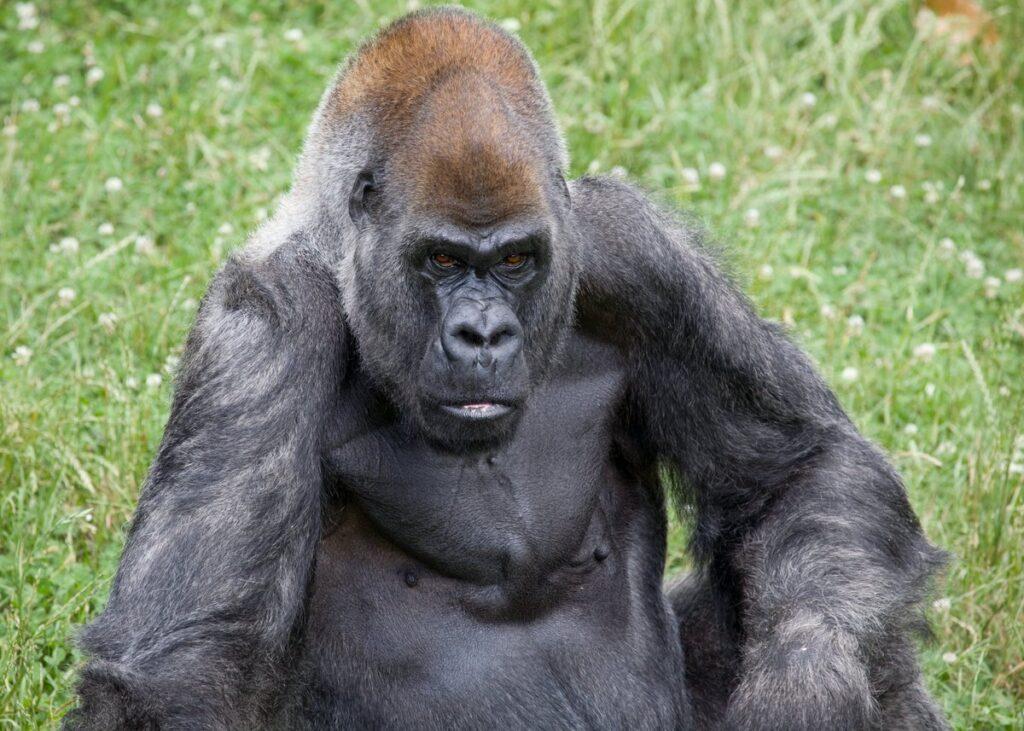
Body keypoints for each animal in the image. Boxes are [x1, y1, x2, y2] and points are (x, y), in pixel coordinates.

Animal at [65, 8, 948, 729]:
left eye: (517, 259)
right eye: (443, 259)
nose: (482, 334)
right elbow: (187, 660)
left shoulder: (636, 254)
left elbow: (798, 470)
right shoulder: (264, 326)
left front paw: (809, 685)